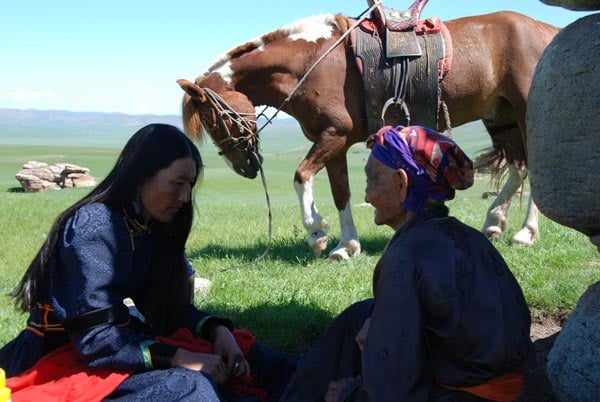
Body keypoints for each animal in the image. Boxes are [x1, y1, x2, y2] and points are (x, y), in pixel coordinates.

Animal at [177, 6, 556, 260]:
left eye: (214, 120)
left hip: (524, 111)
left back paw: (526, 232)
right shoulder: (335, 142)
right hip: (501, 117)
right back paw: (494, 221)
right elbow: (340, 192)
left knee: (535, 168)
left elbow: (301, 177)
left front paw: (316, 233)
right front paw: (346, 246)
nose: (244, 168)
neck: (312, 62)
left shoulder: (334, 135)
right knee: (519, 167)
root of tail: (546, 29)